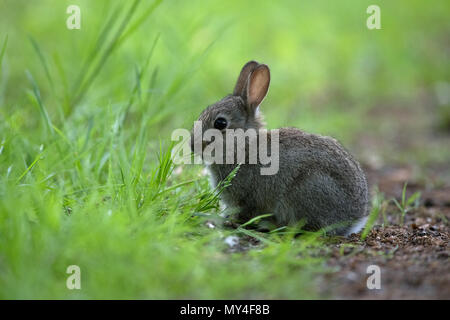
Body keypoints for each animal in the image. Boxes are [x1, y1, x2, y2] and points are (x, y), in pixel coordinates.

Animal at [190, 60, 370, 235]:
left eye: (220, 123)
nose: (192, 145)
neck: (243, 146)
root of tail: (356, 217)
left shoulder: (247, 197)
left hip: (308, 189)